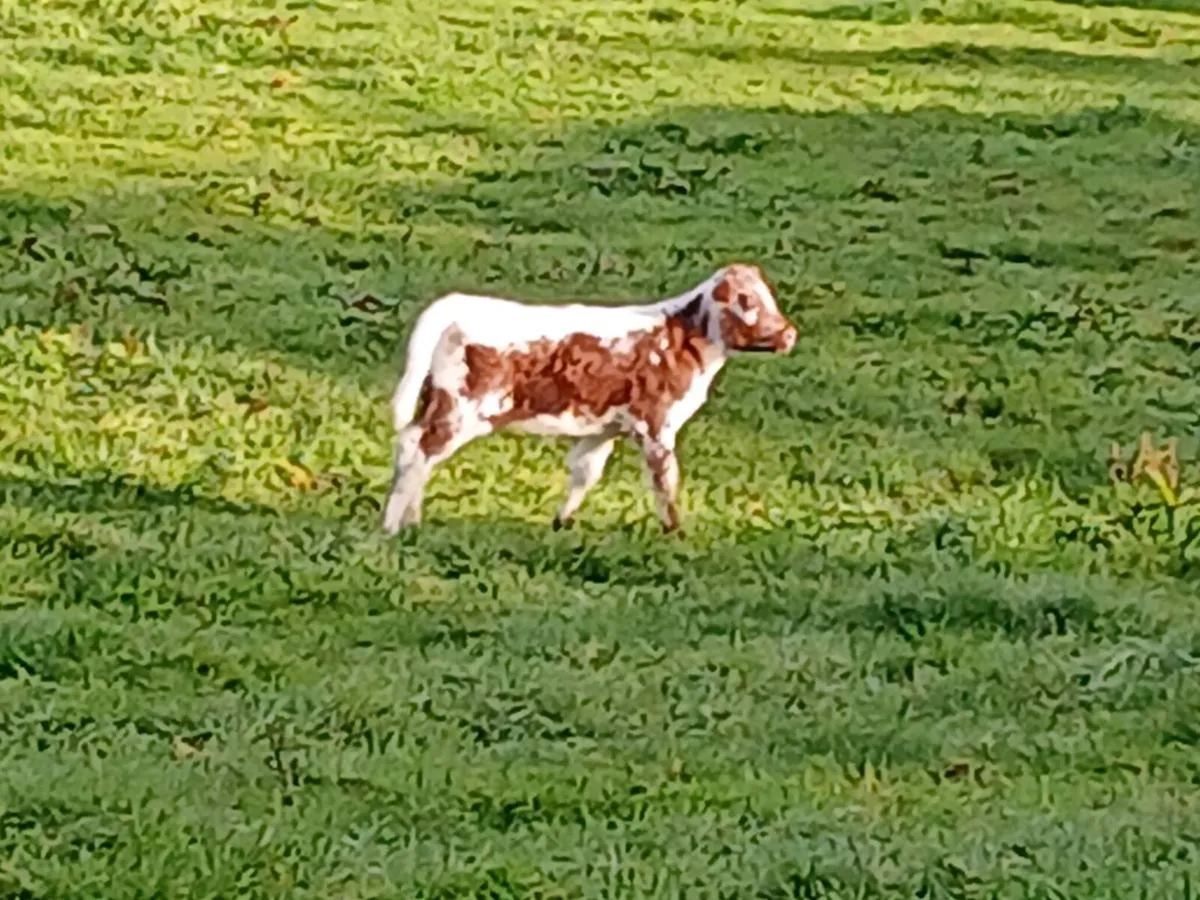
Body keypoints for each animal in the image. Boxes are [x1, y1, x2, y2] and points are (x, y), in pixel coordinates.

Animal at [381, 263, 799, 535]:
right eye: (747, 301)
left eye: (769, 299)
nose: (789, 333)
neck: (682, 339)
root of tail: (459, 302)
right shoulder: (656, 425)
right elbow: (665, 480)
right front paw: (676, 533)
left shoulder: (604, 427)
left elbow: (585, 471)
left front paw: (561, 522)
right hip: (462, 410)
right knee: (418, 451)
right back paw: (390, 526)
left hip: (439, 403)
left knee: (412, 447)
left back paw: (410, 522)